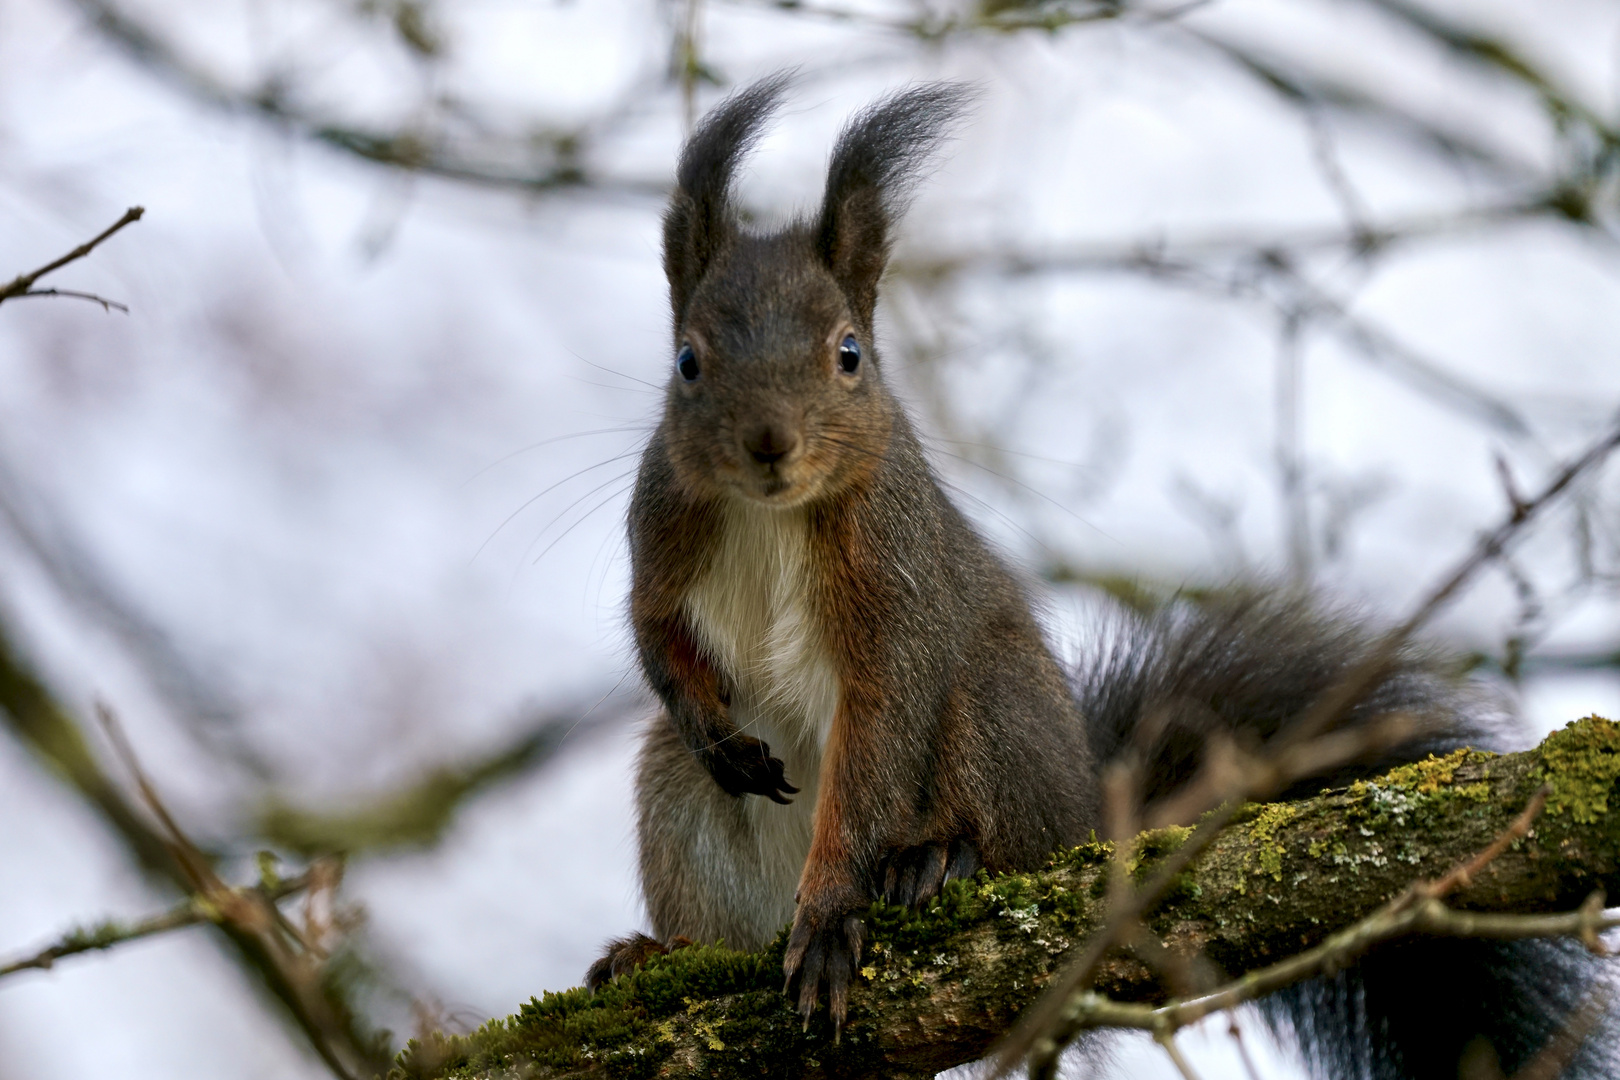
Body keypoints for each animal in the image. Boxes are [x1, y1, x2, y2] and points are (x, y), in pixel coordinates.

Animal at [586, 76, 1607, 1080]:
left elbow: (879, 734)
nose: (770, 444)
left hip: (994, 709)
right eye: (687, 361)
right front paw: (715, 731)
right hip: (678, 800)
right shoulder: (661, 528)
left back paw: (938, 860)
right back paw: (661, 953)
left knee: (990, 806)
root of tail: (1092, 816)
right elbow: (653, 631)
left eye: (849, 355)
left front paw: (837, 914)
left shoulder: (894, 581)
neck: (769, 514)